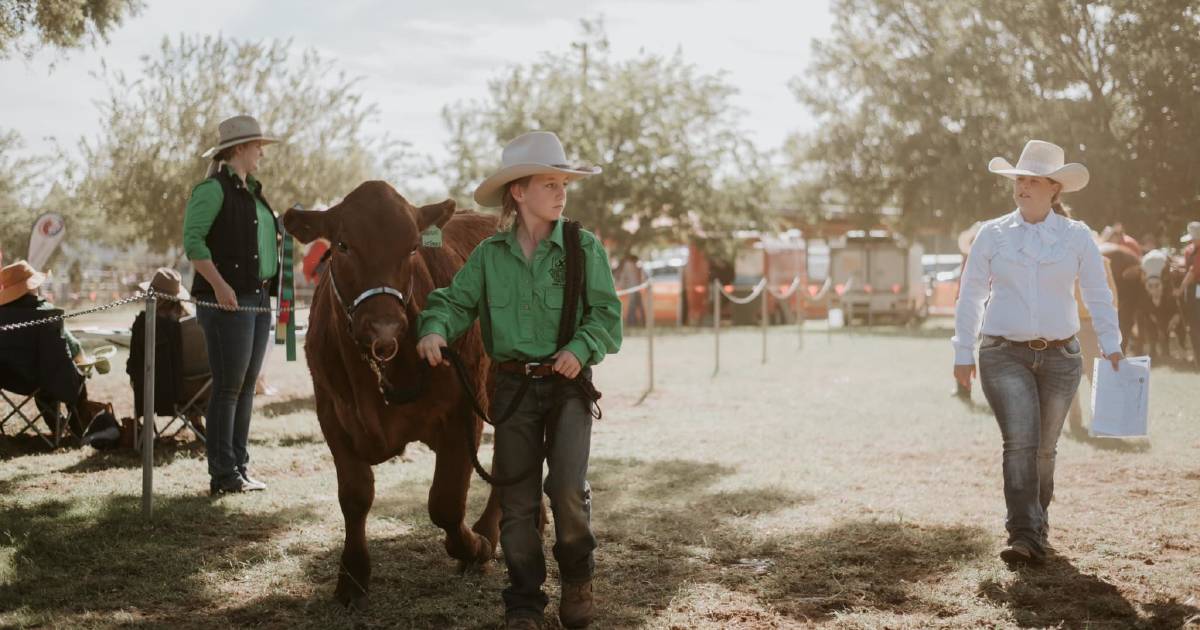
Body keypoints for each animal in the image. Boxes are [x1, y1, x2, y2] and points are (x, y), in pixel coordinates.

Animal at [283, 182, 499, 609]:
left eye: (413, 246)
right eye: (343, 244)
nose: (384, 326)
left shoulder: (465, 411)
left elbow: (445, 503)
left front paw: (476, 547)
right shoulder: (331, 411)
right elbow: (355, 495)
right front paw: (352, 578)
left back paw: (491, 531)